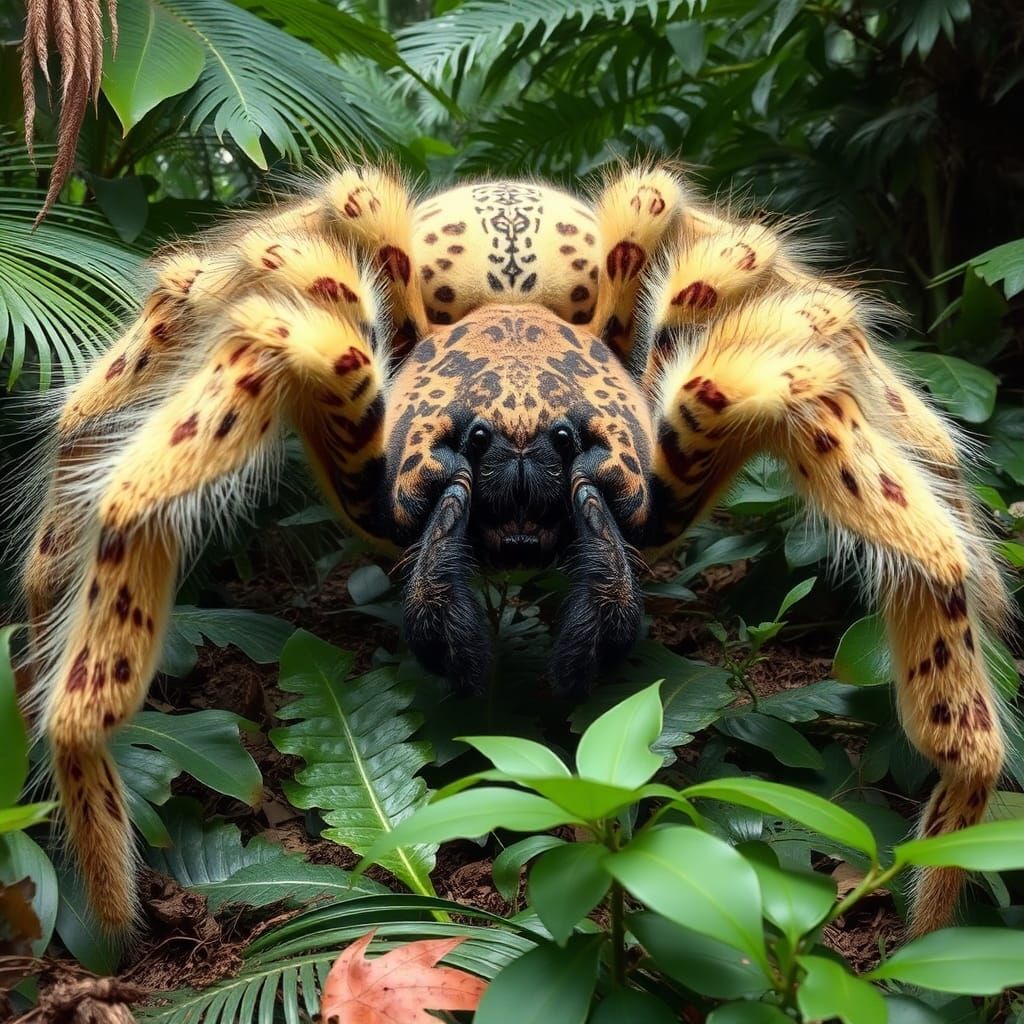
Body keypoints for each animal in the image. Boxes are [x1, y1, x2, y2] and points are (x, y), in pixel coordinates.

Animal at [20, 163, 1010, 941]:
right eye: (470, 444)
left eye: (574, 448)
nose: (523, 514)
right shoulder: (293, 348)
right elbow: (132, 502)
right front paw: (113, 919)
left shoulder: (757, 383)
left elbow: (924, 538)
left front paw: (932, 917)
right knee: (206, 297)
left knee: (801, 303)